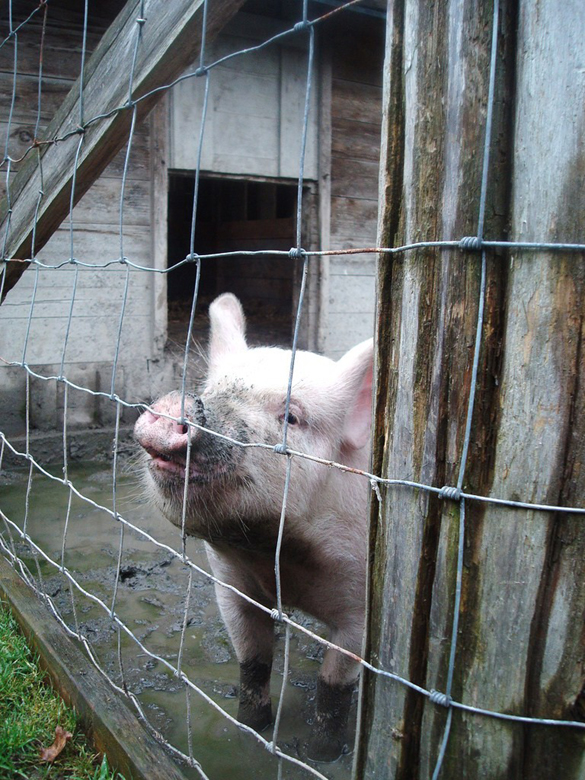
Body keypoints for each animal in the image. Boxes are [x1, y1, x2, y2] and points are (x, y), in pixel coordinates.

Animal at [134, 293, 373, 762]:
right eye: (211, 391)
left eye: (291, 418)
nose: (177, 406)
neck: (276, 556)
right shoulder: (230, 585)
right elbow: (252, 661)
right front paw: (250, 729)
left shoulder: (361, 609)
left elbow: (334, 686)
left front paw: (322, 754)